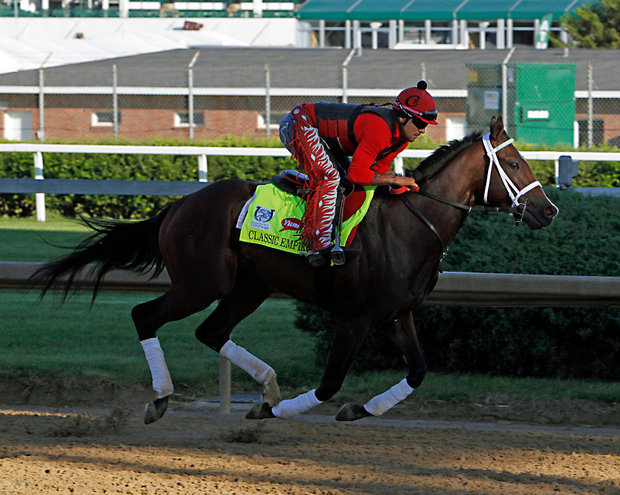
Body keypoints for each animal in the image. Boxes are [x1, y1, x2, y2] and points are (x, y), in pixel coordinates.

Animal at [32, 118, 556, 424]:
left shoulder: (397, 315)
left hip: (249, 287)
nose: (548, 211)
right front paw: (277, 412)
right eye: (514, 163)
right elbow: (328, 384)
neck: (412, 223)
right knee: (145, 315)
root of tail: (179, 205)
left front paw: (357, 409)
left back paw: (265, 385)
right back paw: (163, 398)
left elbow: (419, 371)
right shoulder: (354, 318)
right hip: (202, 283)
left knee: (211, 331)